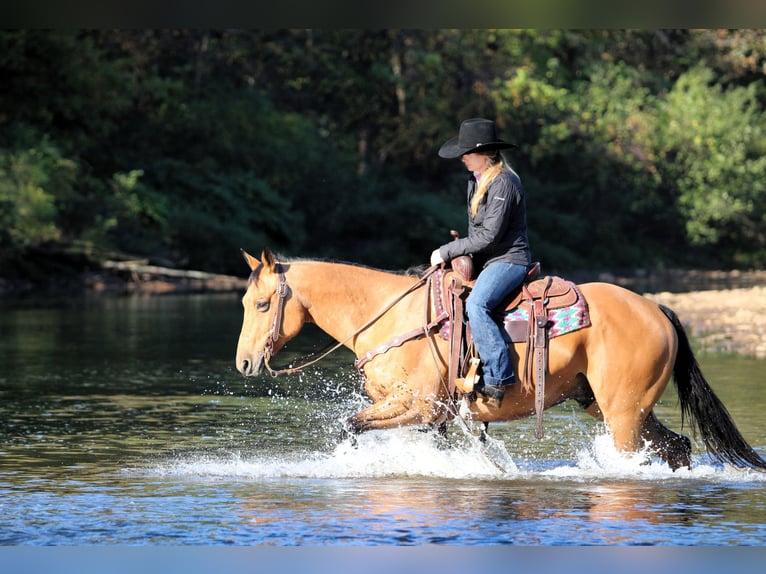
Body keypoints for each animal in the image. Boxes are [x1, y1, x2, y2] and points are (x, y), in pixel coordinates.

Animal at [235, 247, 766, 472]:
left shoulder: (419, 405)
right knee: (677, 446)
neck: (388, 316)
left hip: (623, 414)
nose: (243, 364)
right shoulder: (433, 415)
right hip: (614, 405)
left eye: (261, 305)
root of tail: (656, 308)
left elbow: (350, 426)